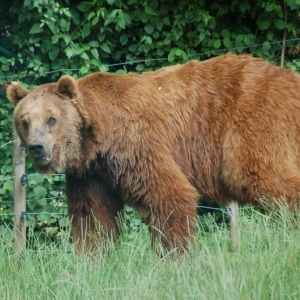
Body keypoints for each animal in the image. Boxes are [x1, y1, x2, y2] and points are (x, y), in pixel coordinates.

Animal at [6, 52, 300, 254]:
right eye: (25, 121)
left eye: (51, 118)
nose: (37, 147)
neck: (97, 140)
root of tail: (290, 78)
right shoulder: (92, 172)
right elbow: (92, 216)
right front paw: (93, 260)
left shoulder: (138, 145)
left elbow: (168, 195)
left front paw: (175, 255)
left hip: (254, 120)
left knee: (259, 173)